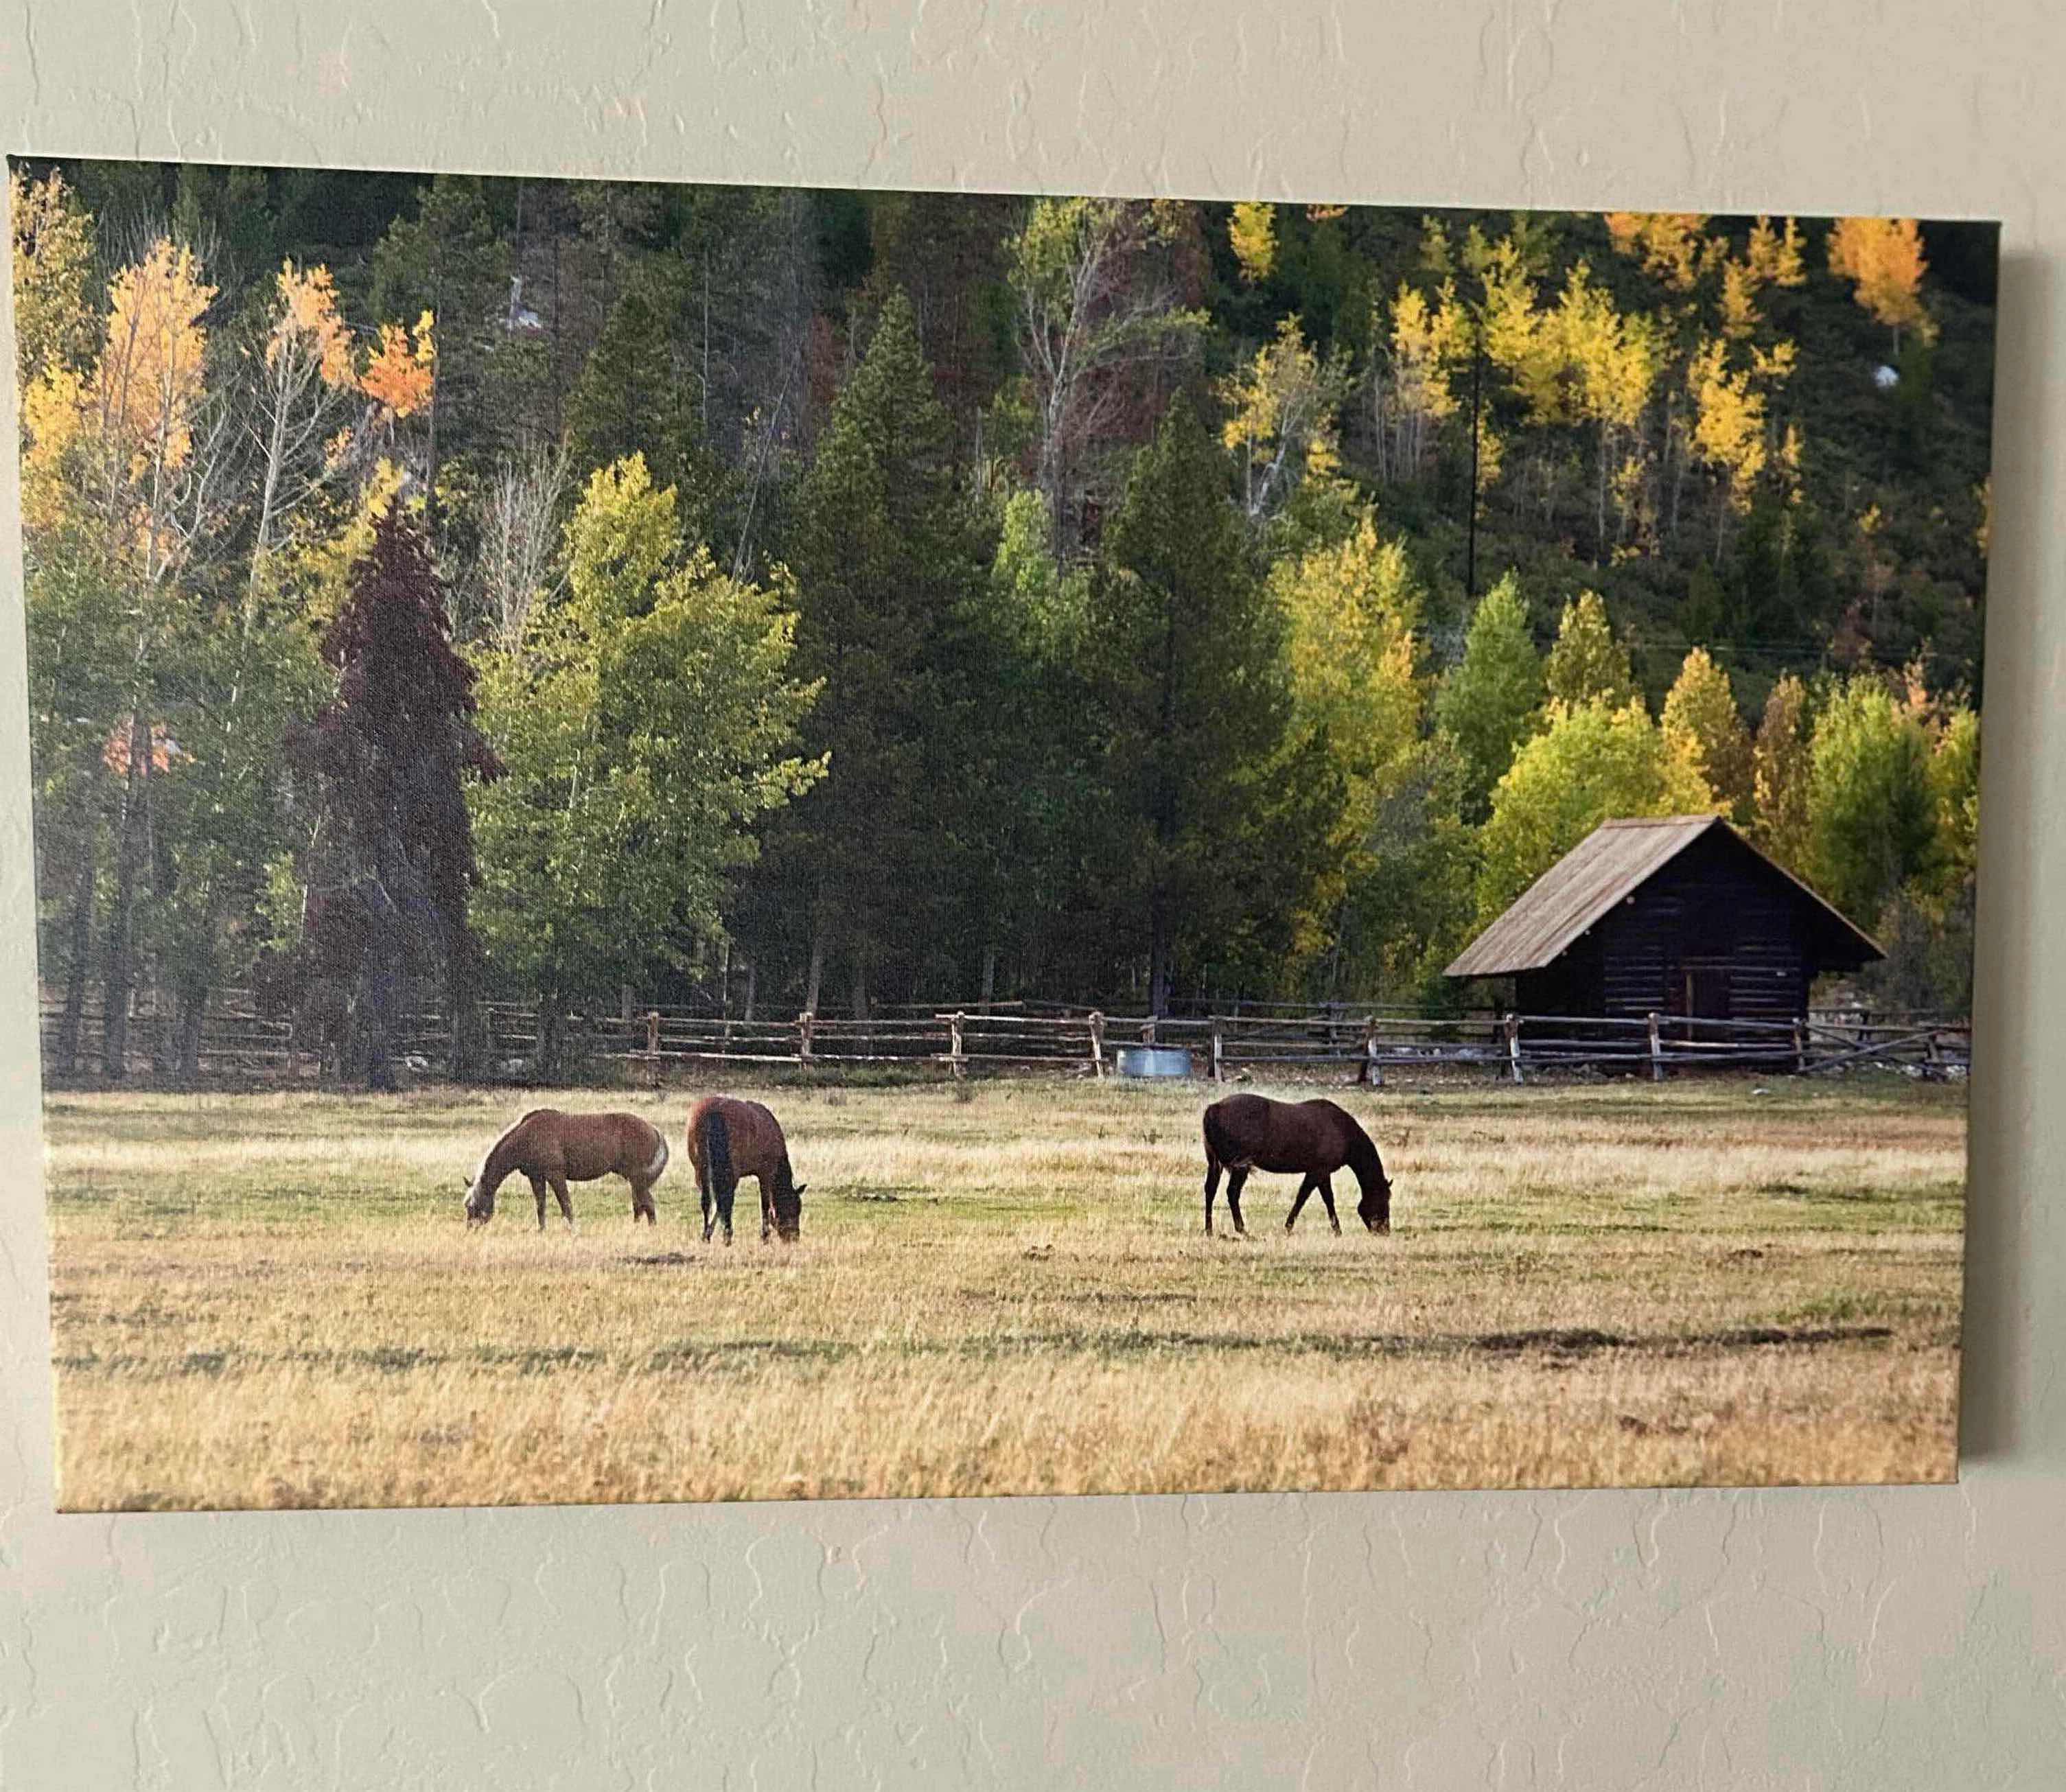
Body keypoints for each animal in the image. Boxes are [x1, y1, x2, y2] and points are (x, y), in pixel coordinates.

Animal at [462, 1109, 670, 1231]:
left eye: (472, 1206)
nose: (470, 1229)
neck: (528, 1135)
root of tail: (654, 1130)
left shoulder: (556, 1175)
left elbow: (566, 1204)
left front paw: (572, 1230)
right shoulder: (536, 1177)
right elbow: (541, 1206)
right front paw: (541, 1230)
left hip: (637, 1180)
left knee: (648, 1205)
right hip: (635, 1182)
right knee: (641, 1206)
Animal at [686, 1095, 805, 1244]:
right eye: (794, 1208)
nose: (794, 1238)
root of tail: (713, 1113)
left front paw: (707, 1233)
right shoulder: (765, 1174)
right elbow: (765, 1205)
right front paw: (765, 1236)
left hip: (702, 1169)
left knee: (708, 1201)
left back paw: (709, 1236)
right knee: (726, 1199)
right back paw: (727, 1236)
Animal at [1200, 1093, 1393, 1237]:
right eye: (1384, 1198)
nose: (1384, 1231)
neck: (1342, 1130)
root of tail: (1213, 1108)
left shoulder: (1319, 1173)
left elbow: (1313, 1198)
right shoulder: (1318, 1172)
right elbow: (1312, 1198)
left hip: (1215, 1163)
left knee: (1210, 1190)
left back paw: (1209, 1230)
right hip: (1241, 1167)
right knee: (1232, 1193)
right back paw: (1243, 1231)